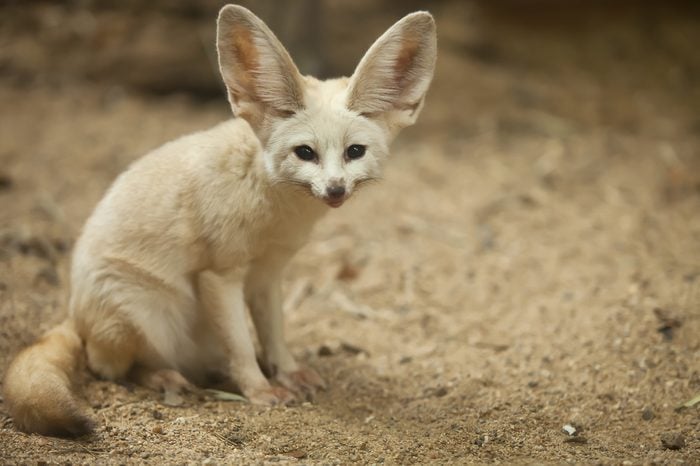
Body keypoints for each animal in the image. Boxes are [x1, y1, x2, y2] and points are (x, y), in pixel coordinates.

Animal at [2, 3, 434, 436]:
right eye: (305, 153)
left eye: (354, 151)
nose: (335, 190)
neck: (276, 214)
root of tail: (74, 312)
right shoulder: (220, 275)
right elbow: (241, 345)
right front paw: (260, 392)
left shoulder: (269, 276)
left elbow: (275, 335)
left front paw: (287, 372)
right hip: (146, 315)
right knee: (111, 368)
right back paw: (165, 378)